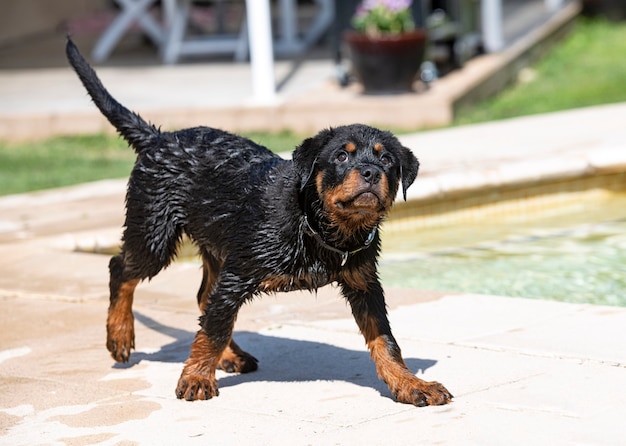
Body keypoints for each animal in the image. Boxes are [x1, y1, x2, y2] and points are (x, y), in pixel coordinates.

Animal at [67, 38, 448, 408]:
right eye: (341, 156)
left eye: (387, 160)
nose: (370, 172)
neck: (315, 224)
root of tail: (158, 138)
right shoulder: (240, 271)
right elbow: (214, 329)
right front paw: (196, 378)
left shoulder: (364, 282)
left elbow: (385, 339)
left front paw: (410, 384)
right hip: (154, 231)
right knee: (123, 269)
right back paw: (120, 335)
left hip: (214, 245)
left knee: (205, 298)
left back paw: (229, 357)